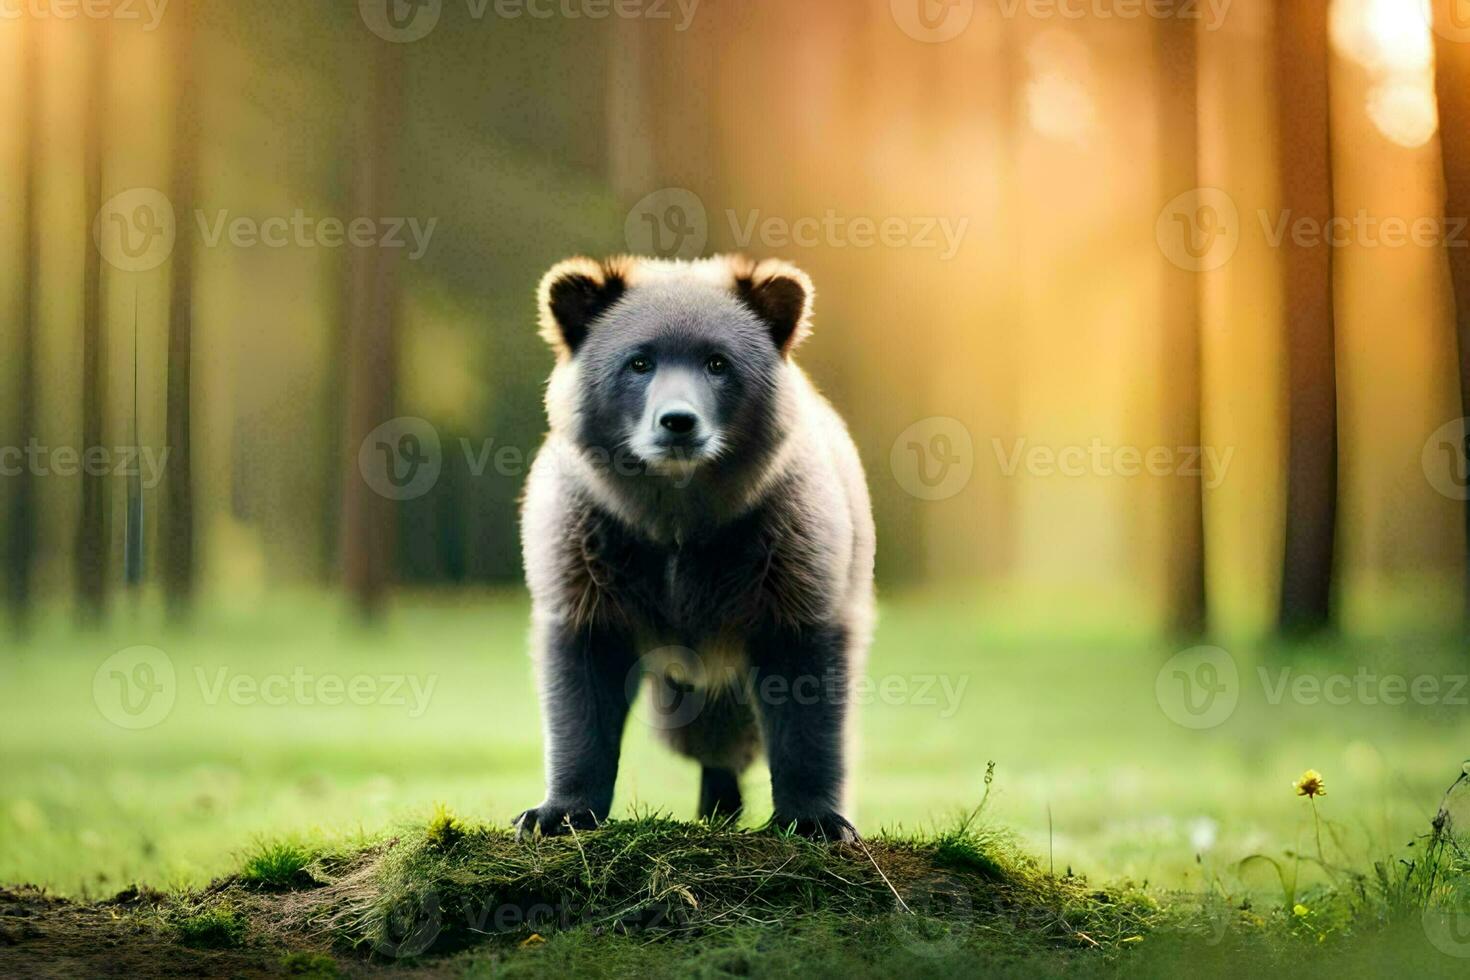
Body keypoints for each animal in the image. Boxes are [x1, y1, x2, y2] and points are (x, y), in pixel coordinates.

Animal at [514, 255, 870, 846]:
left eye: (717, 362)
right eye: (638, 361)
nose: (678, 422)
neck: (677, 521)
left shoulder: (785, 556)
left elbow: (806, 690)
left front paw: (814, 817)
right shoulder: (590, 553)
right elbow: (581, 690)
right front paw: (557, 811)